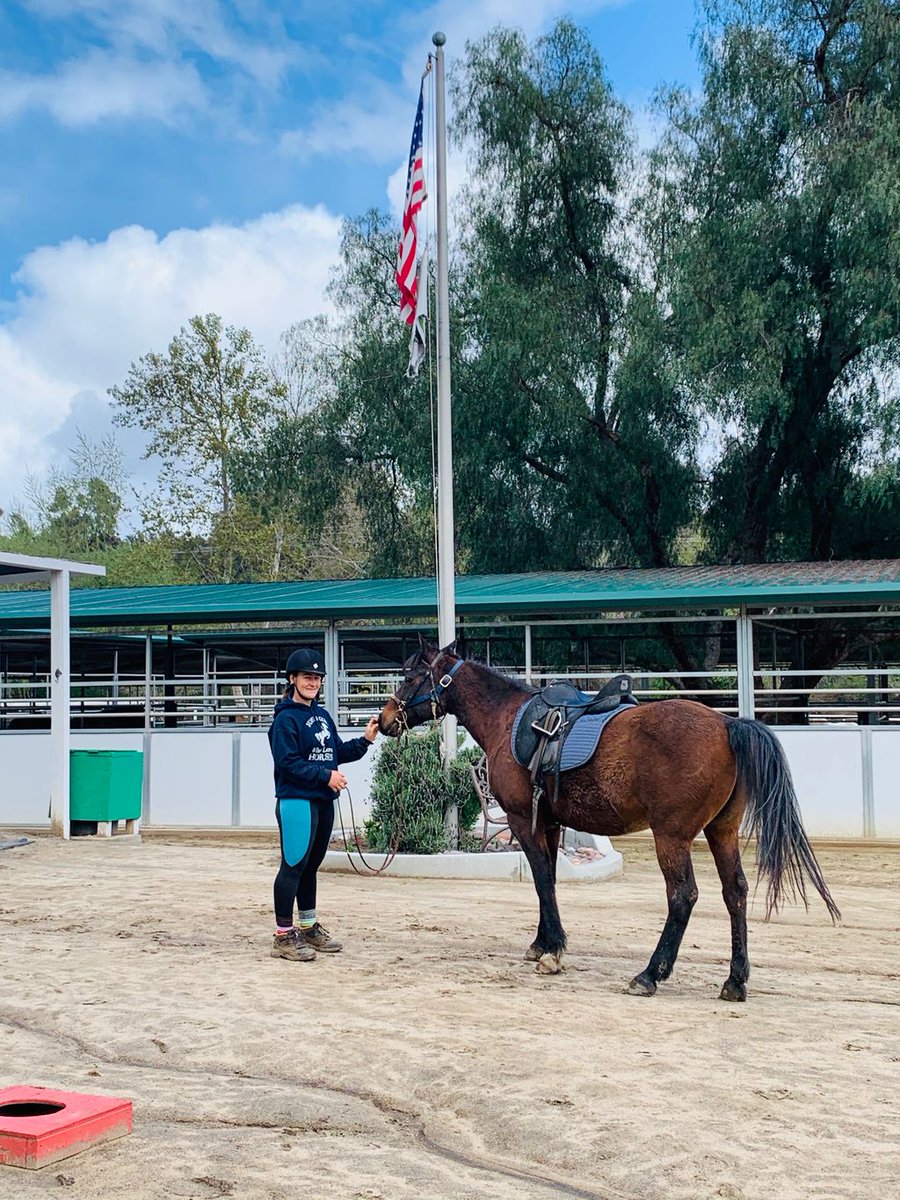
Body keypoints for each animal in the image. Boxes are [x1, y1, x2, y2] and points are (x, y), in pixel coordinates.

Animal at [377, 639, 840, 1001]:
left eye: (411, 676)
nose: (384, 720)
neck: (507, 718)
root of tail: (727, 725)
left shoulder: (524, 820)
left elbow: (542, 879)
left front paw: (552, 950)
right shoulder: (550, 823)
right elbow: (550, 880)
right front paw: (544, 942)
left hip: (671, 836)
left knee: (683, 896)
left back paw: (650, 974)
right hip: (720, 832)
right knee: (735, 893)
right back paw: (735, 980)